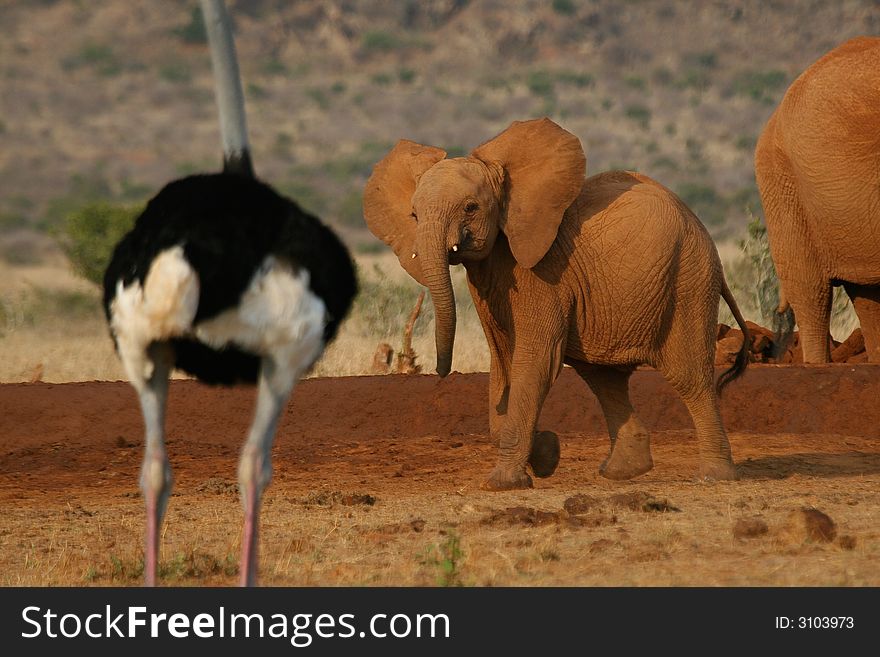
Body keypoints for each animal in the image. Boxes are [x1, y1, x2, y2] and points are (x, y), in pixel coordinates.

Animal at [364, 118, 748, 490]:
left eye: (470, 208)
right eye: (414, 216)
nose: (440, 371)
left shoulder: (544, 272)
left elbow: (535, 359)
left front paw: (505, 483)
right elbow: (502, 363)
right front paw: (546, 454)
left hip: (690, 279)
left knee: (689, 377)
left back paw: (714, 476)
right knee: (602, 376)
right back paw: (624, 471)